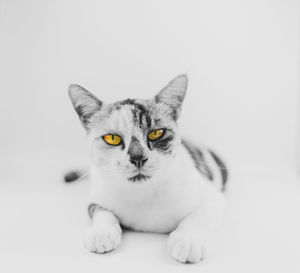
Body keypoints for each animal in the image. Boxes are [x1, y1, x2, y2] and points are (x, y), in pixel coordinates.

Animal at [66, 74, 227, 262]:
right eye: (112, 138)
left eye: (156, 133)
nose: (138, 157)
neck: (142, 193)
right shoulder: (97, 196)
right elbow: (103, 212)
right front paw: (102, 232)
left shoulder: (213, 199)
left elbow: (197, 219)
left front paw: (187, 240)